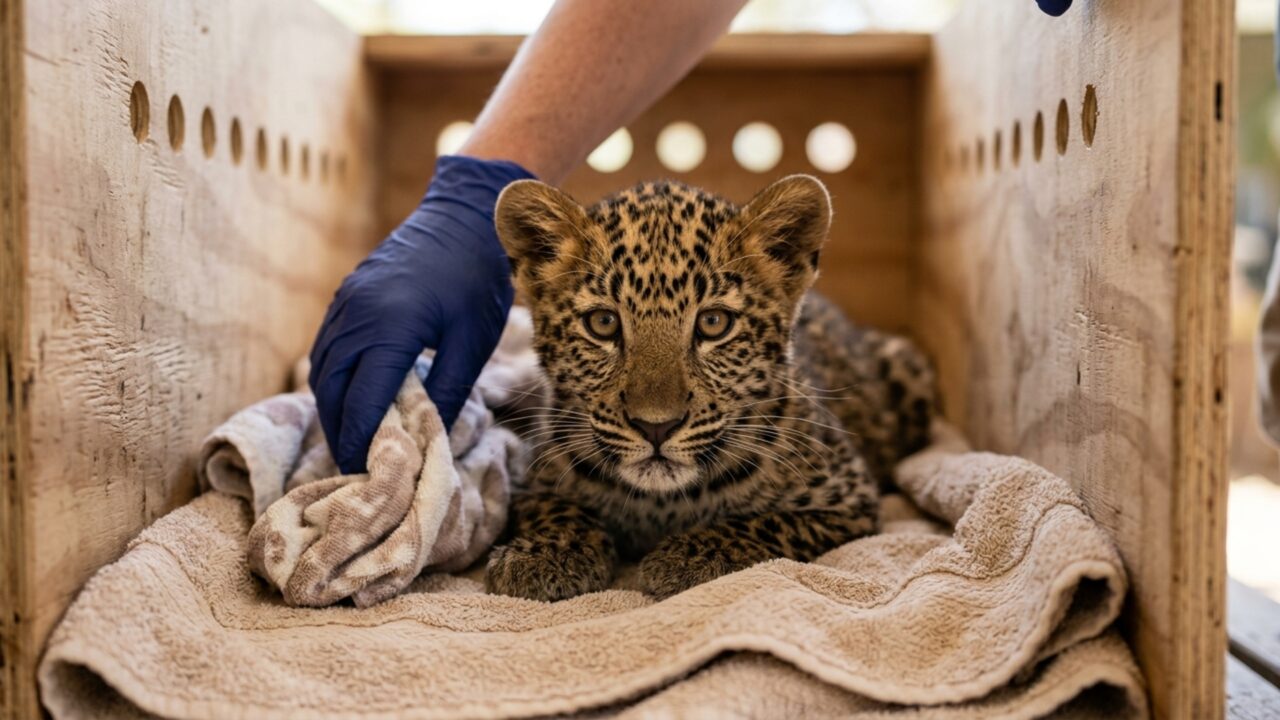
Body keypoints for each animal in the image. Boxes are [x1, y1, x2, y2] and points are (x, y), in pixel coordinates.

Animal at [485, 175, 936, 602]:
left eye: (714, 323)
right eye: (603, 323)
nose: (656, 427)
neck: (660, 503)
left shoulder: (847, 499)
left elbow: (764, 523)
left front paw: (689, 556)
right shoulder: (532, 480)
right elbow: (556, 508)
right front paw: (546, 553)